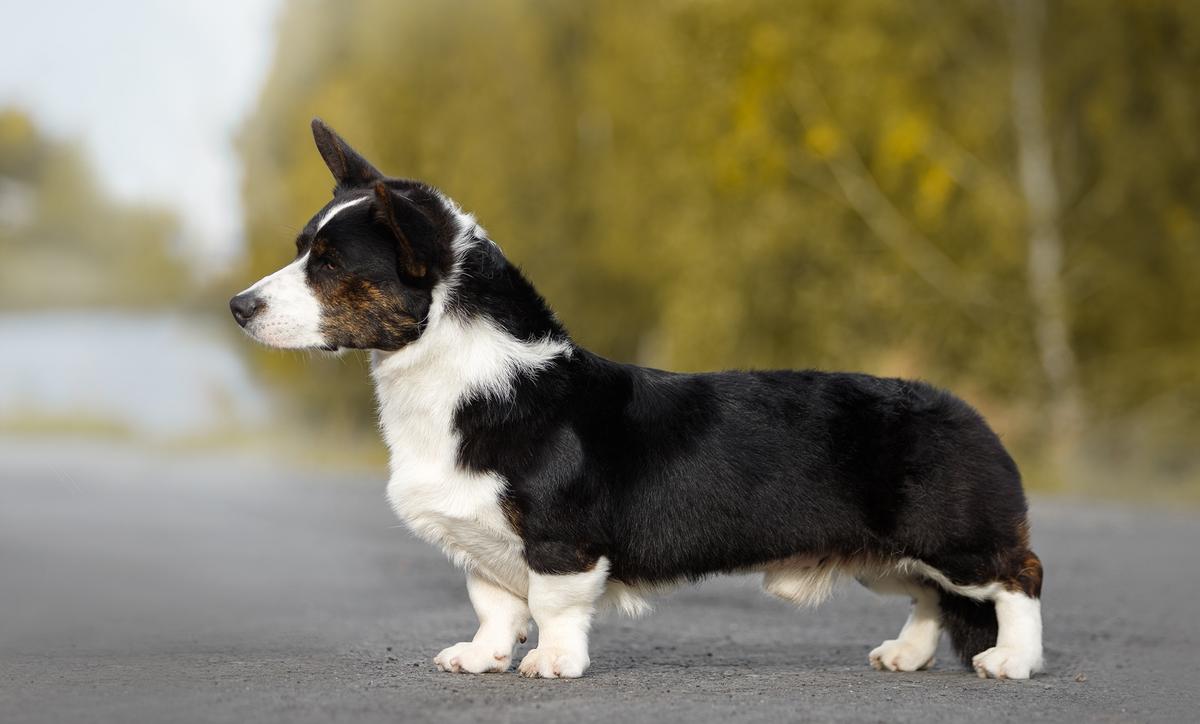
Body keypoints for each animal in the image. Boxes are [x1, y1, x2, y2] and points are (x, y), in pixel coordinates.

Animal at [231, 118, 1041, 681]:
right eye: (302, 248)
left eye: (330, 266)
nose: (238, 307)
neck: (458, 374)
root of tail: (972, 416)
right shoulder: (481, 546)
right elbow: (493, 605)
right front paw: (482, 657)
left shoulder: (560, 542)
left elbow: (551, 607)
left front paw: (551, 664)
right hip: (887, 555)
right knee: (929, 598)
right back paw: (906, 655)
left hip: (953, 539)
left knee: (1016, 578)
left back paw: (1014, 661)